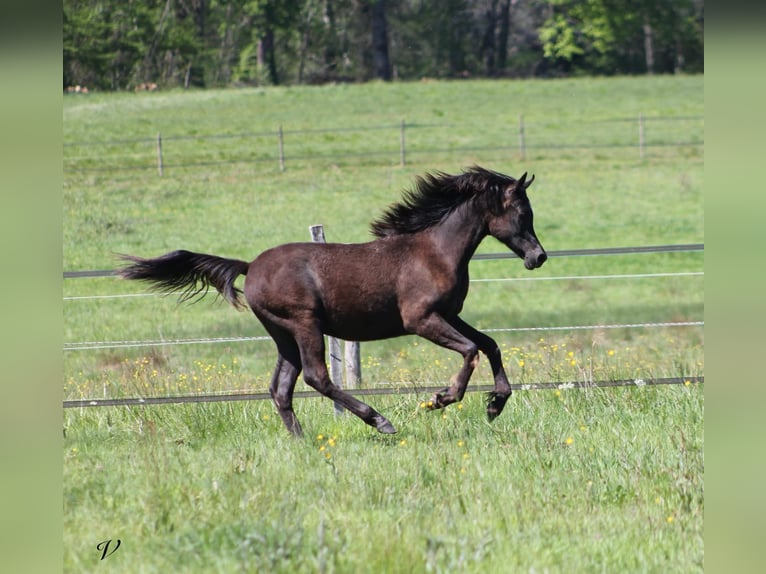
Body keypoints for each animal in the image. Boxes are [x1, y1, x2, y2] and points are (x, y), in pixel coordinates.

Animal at [118, 166, 547, 436]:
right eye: (522, 212)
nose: (538, 257)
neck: (435, 252)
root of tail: (250, 266)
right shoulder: (421, 319)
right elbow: (472, 350)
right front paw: (441, 399)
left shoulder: (449, 315)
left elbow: (490, 344)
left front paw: (495, 404)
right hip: (305, 324)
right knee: (316, 377)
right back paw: (380, 421)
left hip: (283, 335)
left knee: (281, 388)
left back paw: (303, 441)